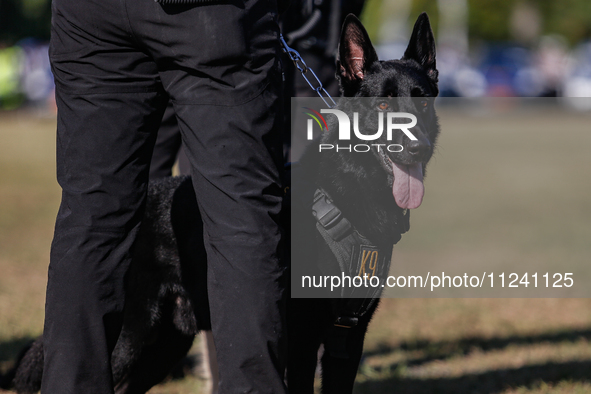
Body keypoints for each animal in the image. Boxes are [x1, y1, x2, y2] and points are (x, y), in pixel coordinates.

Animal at [4, 12, 440, 394]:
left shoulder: (346, 340)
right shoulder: (301, 342)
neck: (351, 191)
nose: (416, 148)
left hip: (164, 346)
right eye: (382, 106)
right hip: (132, 336)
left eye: (422, 103)